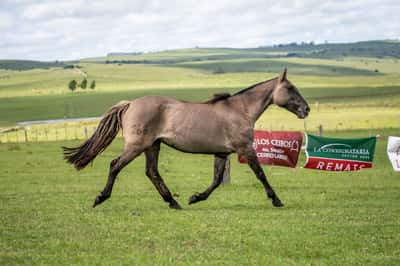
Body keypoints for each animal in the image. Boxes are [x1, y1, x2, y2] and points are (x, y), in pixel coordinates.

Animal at [64, 69, 310, 210]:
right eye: (290, 88)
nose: (306, 109)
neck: (240, 109)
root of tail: (130, 104)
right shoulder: (245, 149)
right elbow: (260, 174)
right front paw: (276, 200)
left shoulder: (222, 153)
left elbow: (217, 180)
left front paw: (195, 198)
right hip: (137, 146)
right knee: (115, 165)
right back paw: (100, 198)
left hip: (152, 146)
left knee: (152, 172)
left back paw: (173, 202)